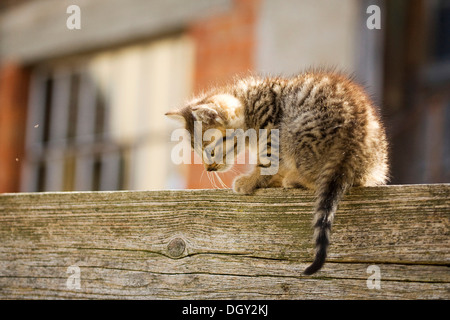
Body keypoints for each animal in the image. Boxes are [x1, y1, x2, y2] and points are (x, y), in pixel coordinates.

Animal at [167, 70, 388, 276]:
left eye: (211, 152)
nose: (209, 168)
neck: (249, 103)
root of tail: (353, 135)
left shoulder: (271, 126)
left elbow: (267, 160)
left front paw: (251, 181)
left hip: (293, 126)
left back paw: (293, 179)